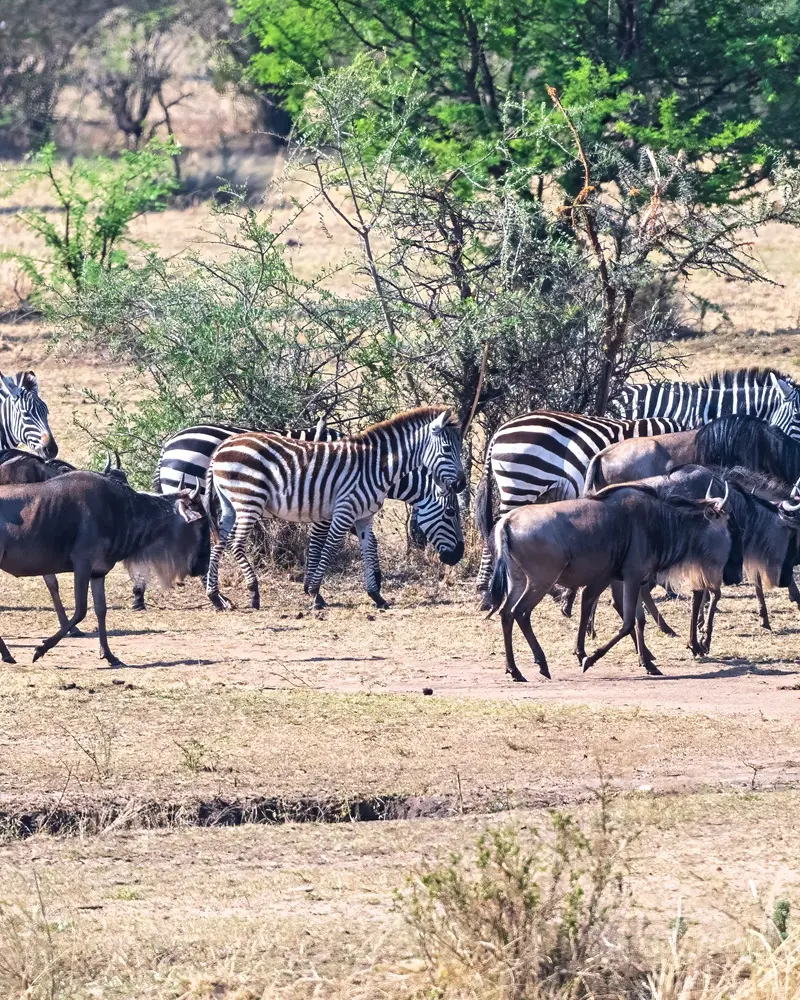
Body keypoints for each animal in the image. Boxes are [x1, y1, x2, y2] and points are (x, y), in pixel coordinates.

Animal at [137, 413, 464, 611]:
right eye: (450, 513)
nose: (457, 556)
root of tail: (168, 445)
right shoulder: (328, 511)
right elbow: (321, 546)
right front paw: (314, 590)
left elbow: (367, 544)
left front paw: (374, 589)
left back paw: (213, 597)